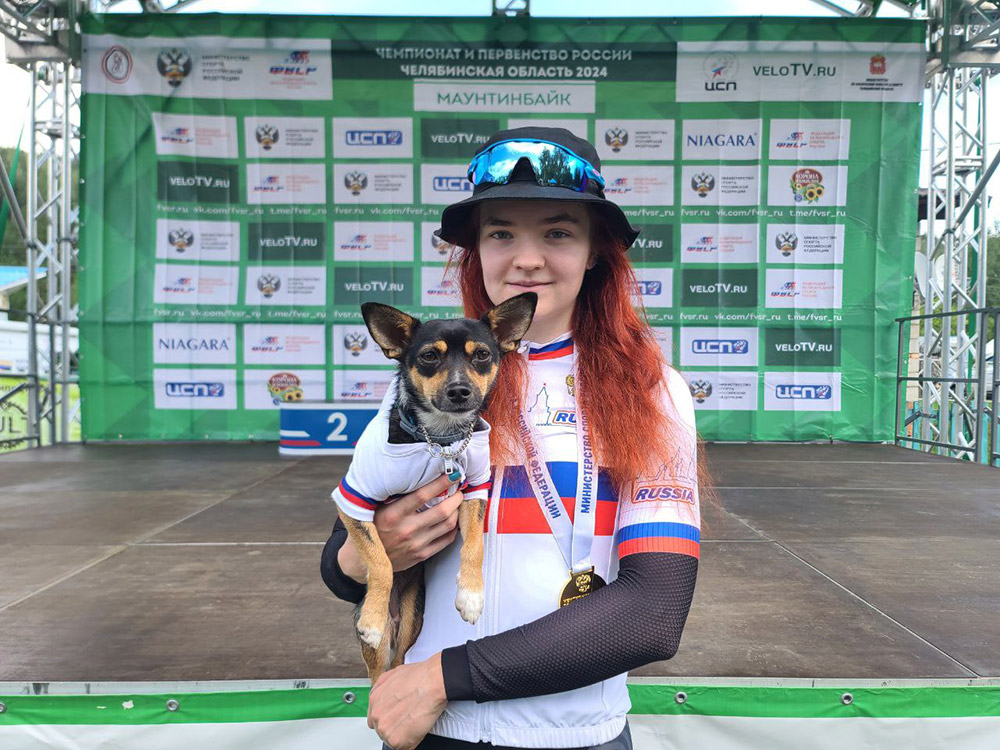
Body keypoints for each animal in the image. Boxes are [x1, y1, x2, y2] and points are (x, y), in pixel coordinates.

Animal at [334, 292, 537, 682]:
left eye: (482, 355)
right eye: (429, 356)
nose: (459, 390)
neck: (440, 439)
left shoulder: (474, 492)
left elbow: (474, 545)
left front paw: (471, 595)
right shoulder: (354, 501)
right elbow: (380, 559)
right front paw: (373, 617)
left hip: (412, 617)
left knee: (399, 661)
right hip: (379, 647)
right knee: (377, 678)